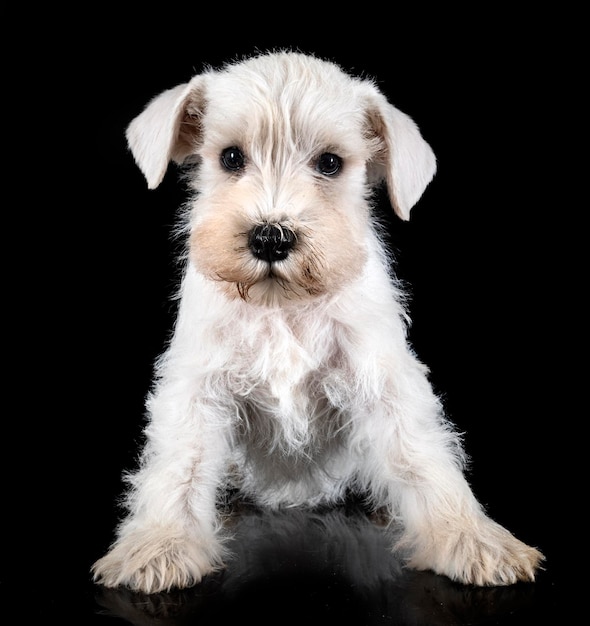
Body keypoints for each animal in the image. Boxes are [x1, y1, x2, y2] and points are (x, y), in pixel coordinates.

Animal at [92, 48, 544, 588]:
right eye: (230, 158)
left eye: (330, 163)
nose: (270, 237)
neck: (283, 307)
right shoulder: (198, 386)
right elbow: (181, 462)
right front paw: (160, 545)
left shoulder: (384, 380)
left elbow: (421, 456)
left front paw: (473, 539)